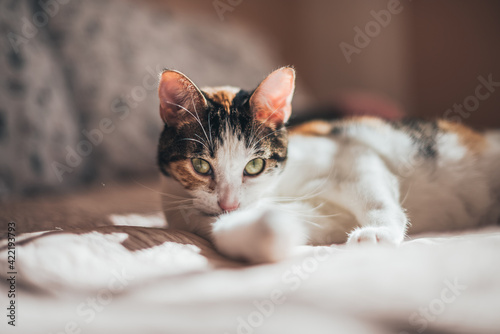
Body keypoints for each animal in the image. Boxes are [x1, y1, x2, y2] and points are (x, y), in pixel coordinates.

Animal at [156, 66, 500, 264]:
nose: (229, 204)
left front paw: (378, 233)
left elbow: (373, 195)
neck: (278, 188)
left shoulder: (350, 151)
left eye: (254, 165)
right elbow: (244, 234)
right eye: (200, 165)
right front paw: (274, 230)